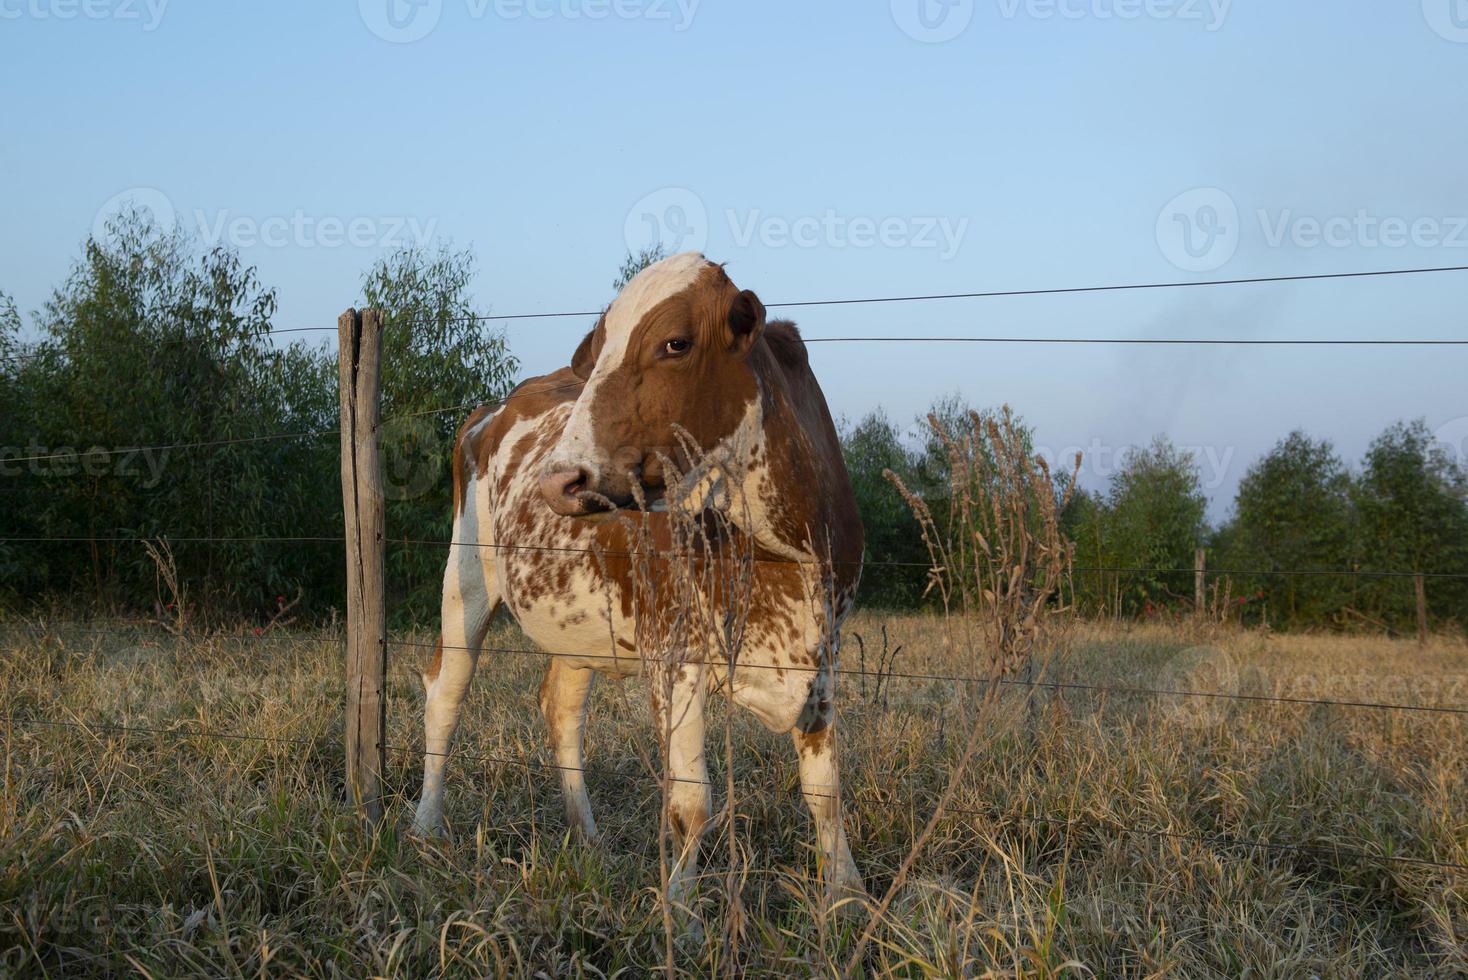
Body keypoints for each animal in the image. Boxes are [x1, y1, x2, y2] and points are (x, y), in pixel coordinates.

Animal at [413, 250, 863, 903]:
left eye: (676, 343)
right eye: (597, 351)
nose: (558, 481)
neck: (783, 555)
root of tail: (493, 408)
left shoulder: (825, 652)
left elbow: (825, 794)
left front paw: (848, 897)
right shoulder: (674, 656)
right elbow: (690, 807)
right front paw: (681, 911)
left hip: (579, 622)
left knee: (560, 709)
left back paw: (588, 838)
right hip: (465, 577)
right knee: (445, 696)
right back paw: (425, 829)